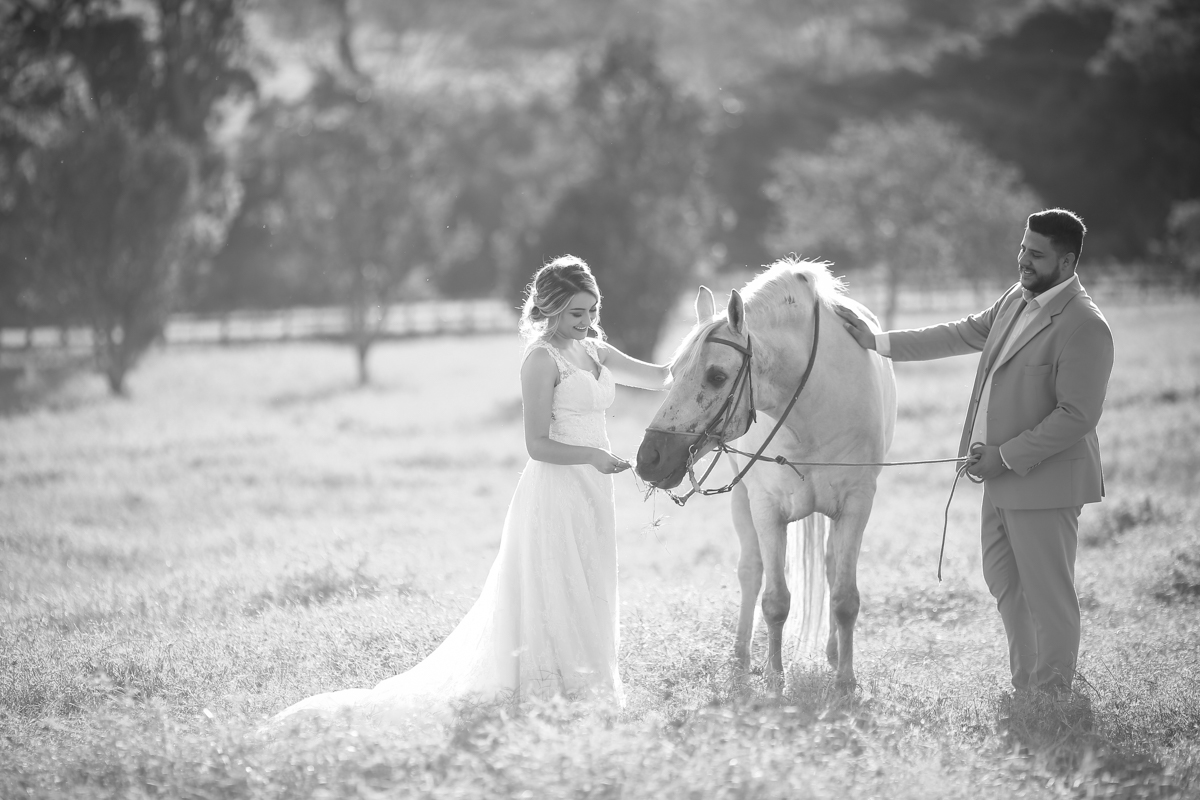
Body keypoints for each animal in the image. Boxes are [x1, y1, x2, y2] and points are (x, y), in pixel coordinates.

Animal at [635, 257, 897, 690]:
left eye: (717, 376)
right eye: (672, 373)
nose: (647, 458)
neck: (813, 403)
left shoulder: (857, 505)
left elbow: (845, 598)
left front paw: (845, 680)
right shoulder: (767, 509)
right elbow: (775, 600)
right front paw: (775, 679)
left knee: (829, 568)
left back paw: (831, 653)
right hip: (743, 500)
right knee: (751, 572)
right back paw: (741, 656)